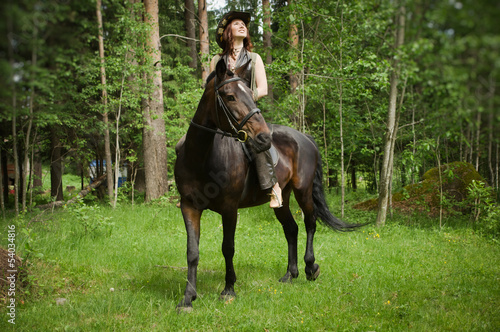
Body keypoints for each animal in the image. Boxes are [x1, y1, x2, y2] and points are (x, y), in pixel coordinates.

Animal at [174, 59, 362, 312]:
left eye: (251, 95)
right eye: (230, 96)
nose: (264, 138)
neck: (201, 158)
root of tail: (305, 138)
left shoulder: (229, 208)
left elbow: (228, 247)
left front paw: (228, 290)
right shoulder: (189, 207)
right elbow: (192, 251)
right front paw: (188, 298)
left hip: (303, 192)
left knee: (310, 223)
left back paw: (310, 268)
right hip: (282, 198)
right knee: (291, 229)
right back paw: (290, 274)